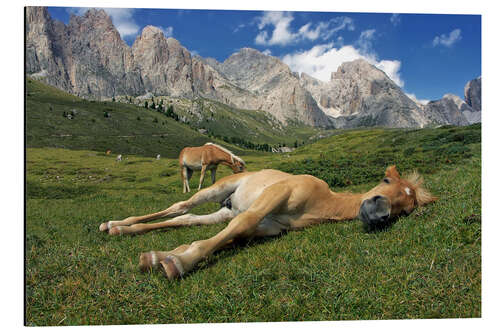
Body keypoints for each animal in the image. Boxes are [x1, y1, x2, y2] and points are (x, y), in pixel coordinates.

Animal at [99, 165, 436, 278]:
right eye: (385, 181)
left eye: (406, 208)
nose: (379, 215)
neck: (319, 202)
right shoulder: (273, 198)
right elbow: (236, 229)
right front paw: (178, 263)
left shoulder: (267, 228)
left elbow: (233, 236)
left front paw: (163, 256)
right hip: (216, 190)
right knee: (179, 206)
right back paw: (115, 223)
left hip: (224, 210)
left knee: (189, 219)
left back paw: (123, 229)